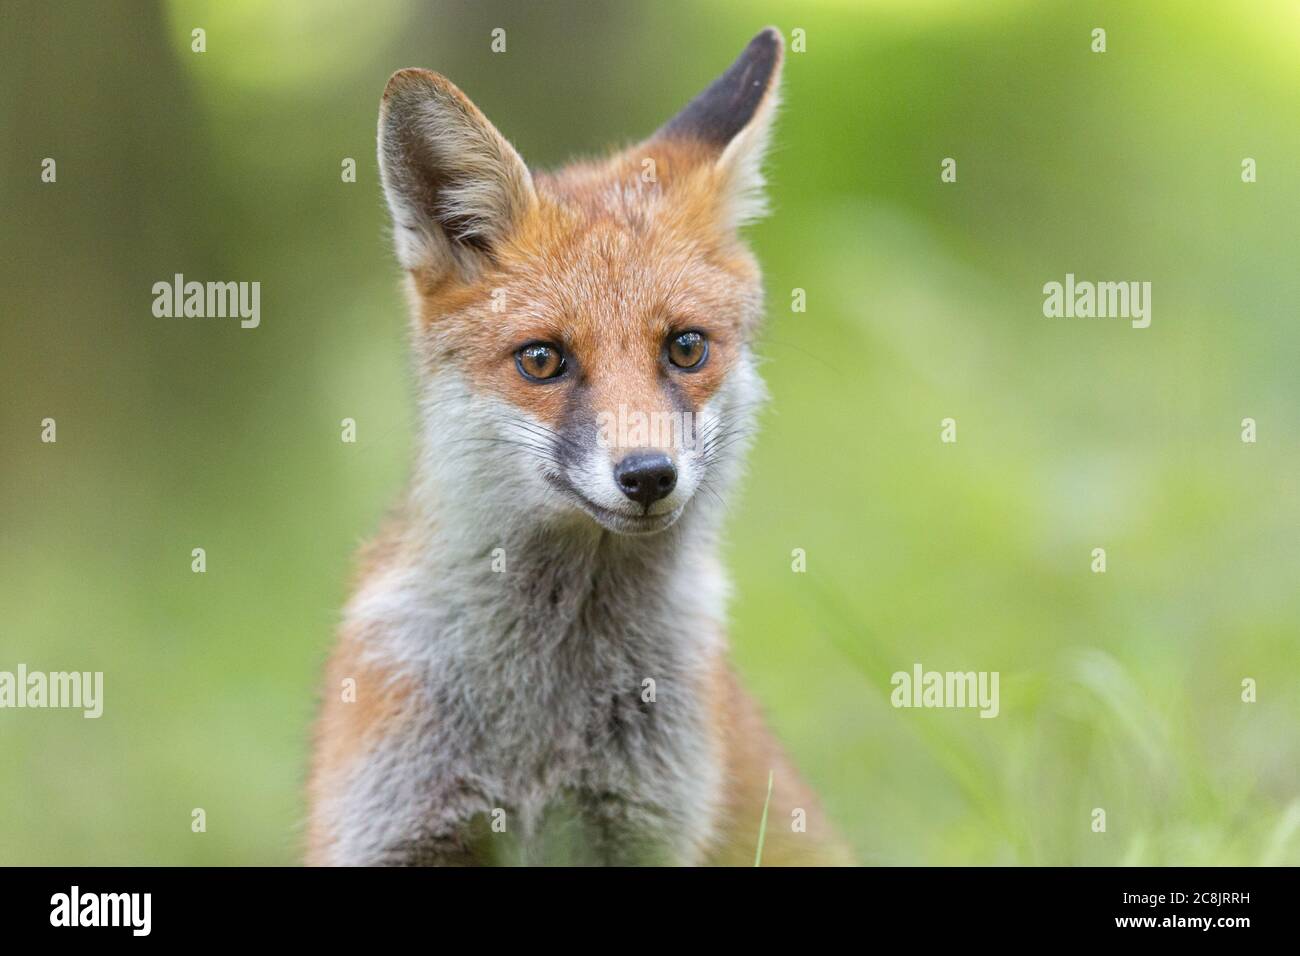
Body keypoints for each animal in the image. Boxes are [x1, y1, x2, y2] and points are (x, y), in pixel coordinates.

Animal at [305, 27, 852, 868]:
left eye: (686, 348)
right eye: (542, 360)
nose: (648, 475)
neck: (545, 712)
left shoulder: (640, 828)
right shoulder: (393, 827)